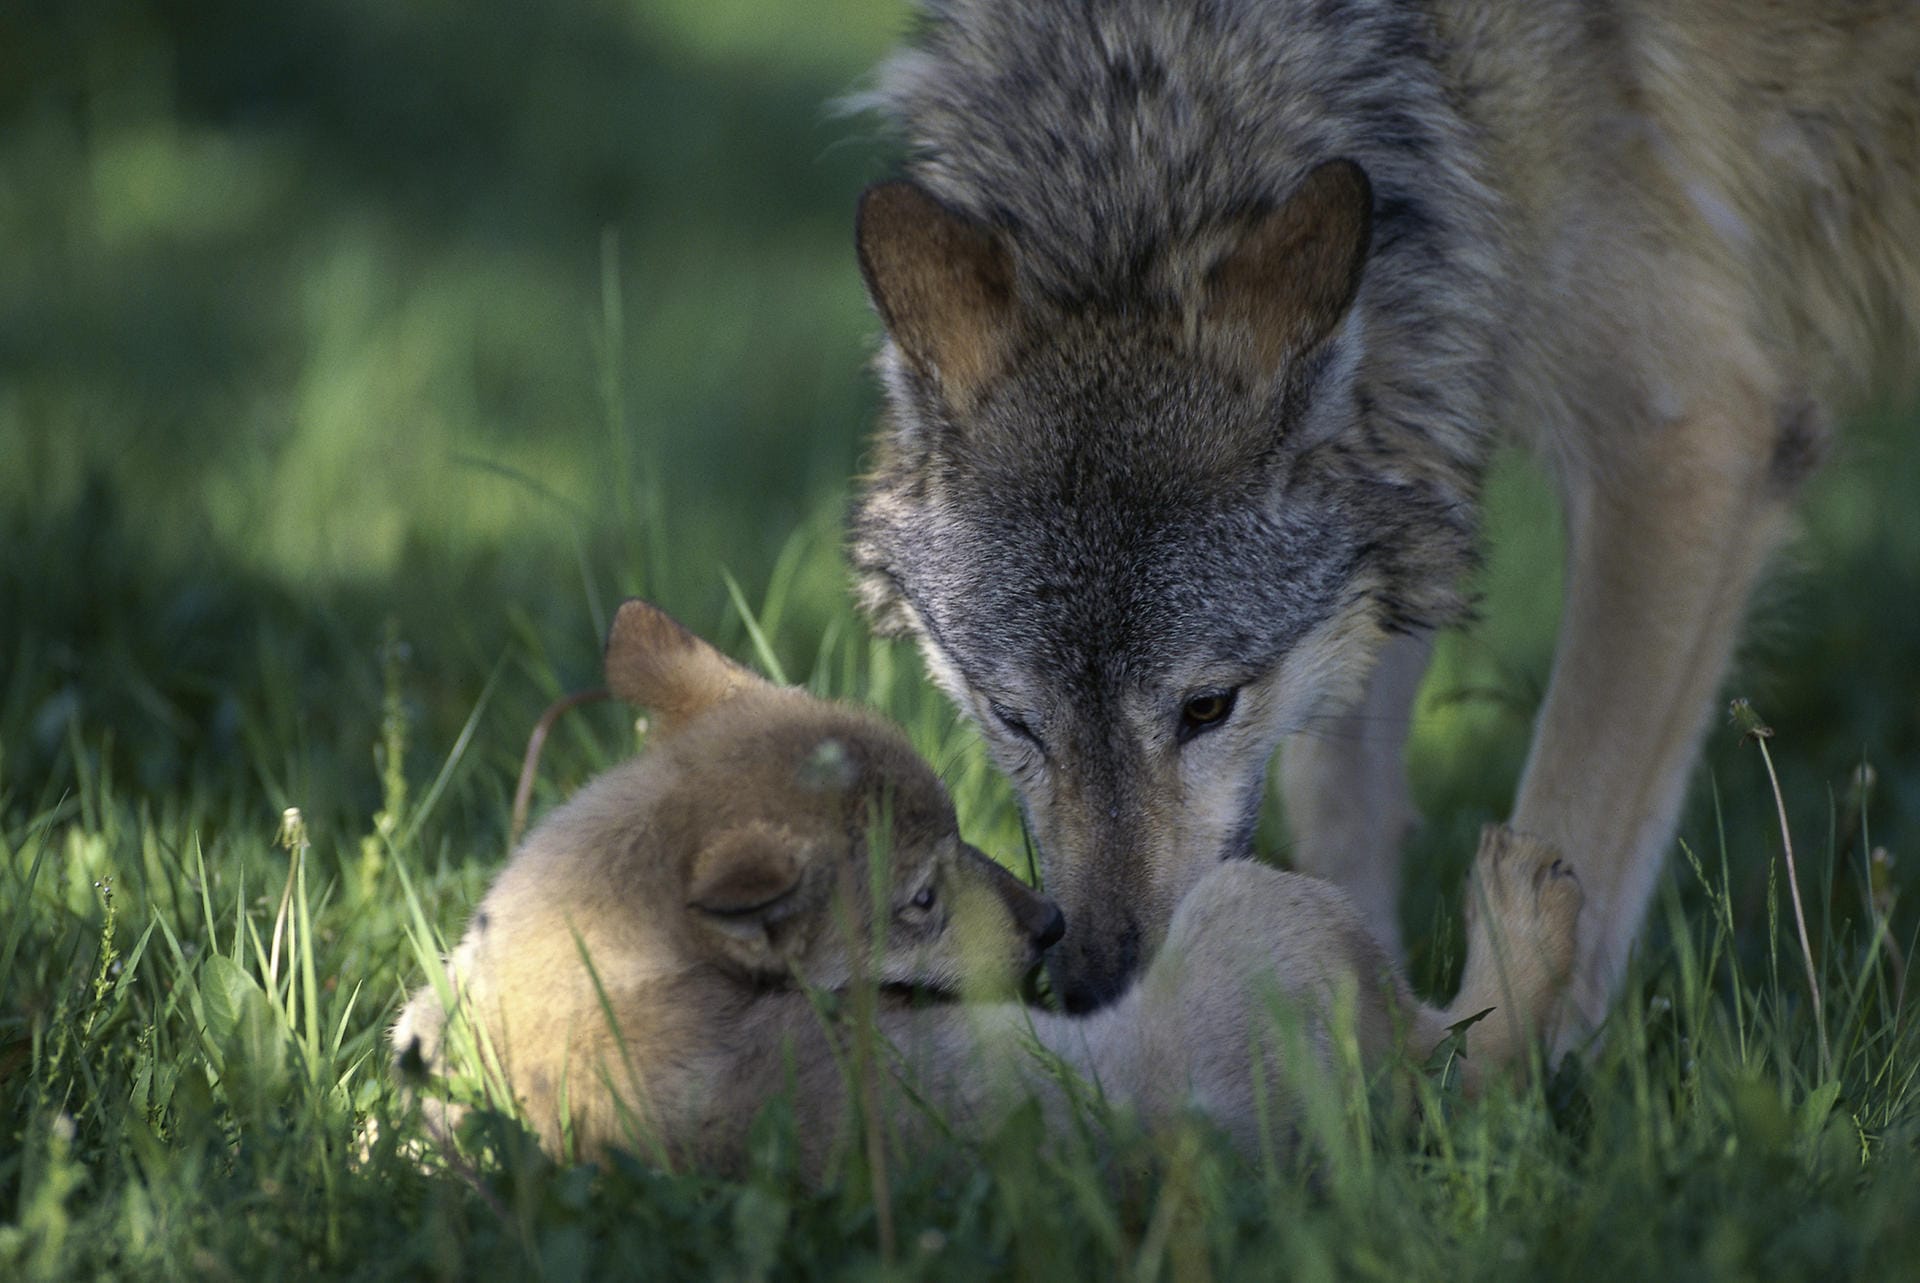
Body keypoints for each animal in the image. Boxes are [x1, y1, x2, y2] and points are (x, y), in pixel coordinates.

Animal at [385, 603, 1574, 1175]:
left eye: (963, 832)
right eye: (917, 897)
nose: (1051, 925)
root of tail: (1388, 1104)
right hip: (1268, 914)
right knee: (1484, 1052)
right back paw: (1524, 891)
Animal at [852, 0, 1920, 1037]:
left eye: (1207, 708)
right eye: (1013, 717)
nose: (1095, 990)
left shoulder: (1685, 439)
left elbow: (1566, 825)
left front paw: (1478, 1066)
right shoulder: (1421, 452)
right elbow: (1337, 788)